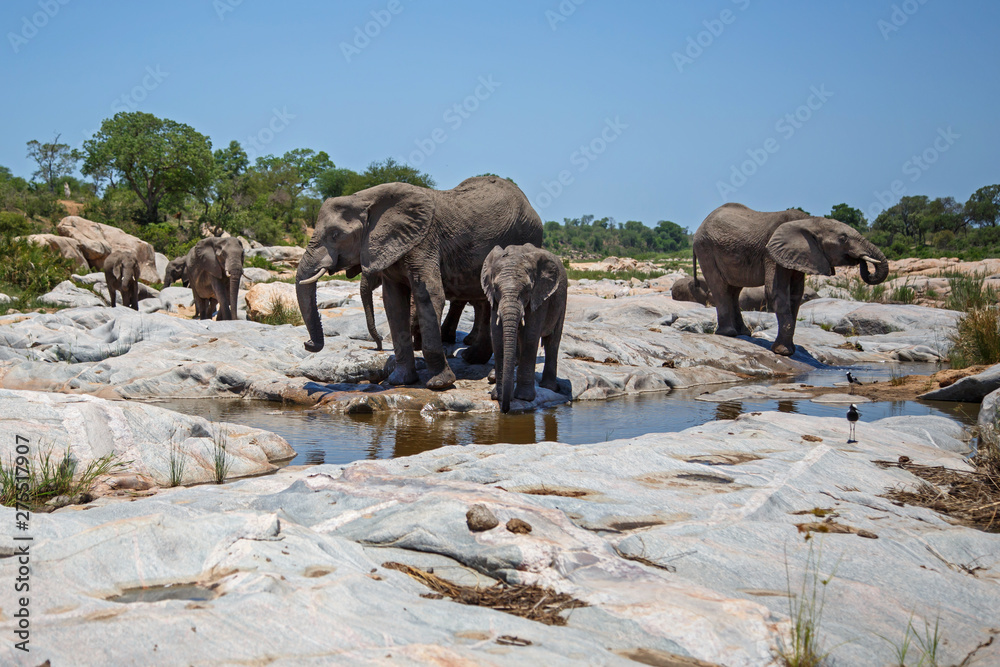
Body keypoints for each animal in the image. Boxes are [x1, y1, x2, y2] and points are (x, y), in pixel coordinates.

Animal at [296, 175, 543, 390]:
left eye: (335, 234)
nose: (308, 344)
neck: (366, 198)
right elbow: (393, 303)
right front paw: (399, 381)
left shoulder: (424, 243)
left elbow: (429, 296)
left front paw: (439, 384)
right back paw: (472, 358)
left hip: (526, 238)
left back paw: (494, 374)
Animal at [481, 243, 568, 413]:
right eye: (496, 288)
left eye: (527, 290)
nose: (505, 410)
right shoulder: (493, 299)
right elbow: (497, 335)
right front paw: (498, 395)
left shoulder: (539, 296)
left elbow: (530, 335)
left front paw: (523, 398)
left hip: (562, 300)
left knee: (552, 341)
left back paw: (549, 387)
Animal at [692, 203, 888, 355]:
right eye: (843, 238)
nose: (862, 262)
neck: (809, 221)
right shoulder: (771, 253)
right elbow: (775, 292)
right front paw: (783, 352)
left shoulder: (799, 257)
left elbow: (795, 295)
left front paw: (790, 350)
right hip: (705, 249)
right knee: (720, 288)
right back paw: (728, 334)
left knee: (734, 289)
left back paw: (744, 333)